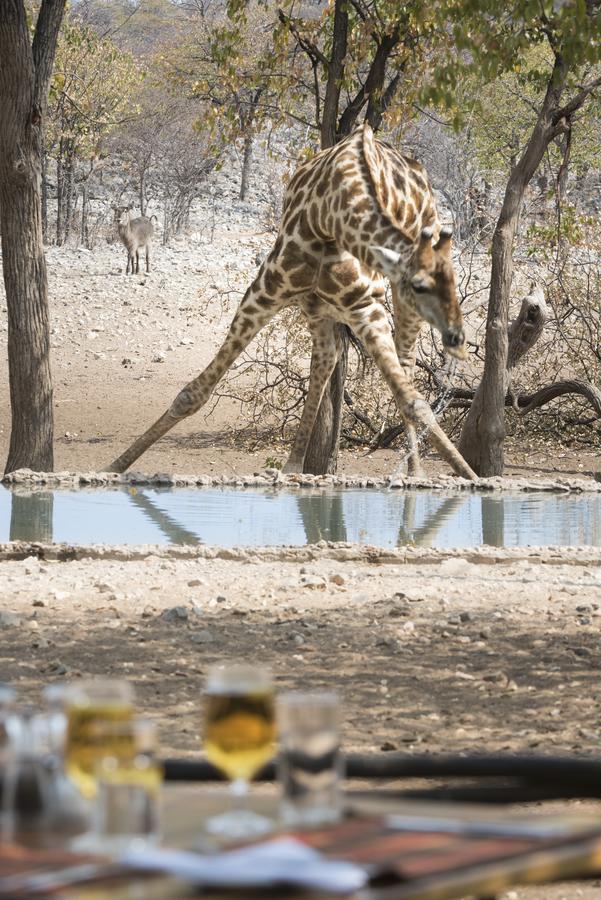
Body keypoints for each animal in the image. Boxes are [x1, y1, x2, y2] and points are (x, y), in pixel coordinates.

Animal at [105, 125, 476, 486]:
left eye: (454, 283)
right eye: (421, 286)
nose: (457, 338)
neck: (329, 217)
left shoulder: (365, 307)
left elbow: (413, 400)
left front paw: (473, 479)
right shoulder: (264, 292)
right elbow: (193, 393)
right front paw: (114, 467)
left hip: (358, 304)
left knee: (400, 365)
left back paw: (411, 472)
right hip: (317, 305)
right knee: (329, 357)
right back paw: (293, 465)